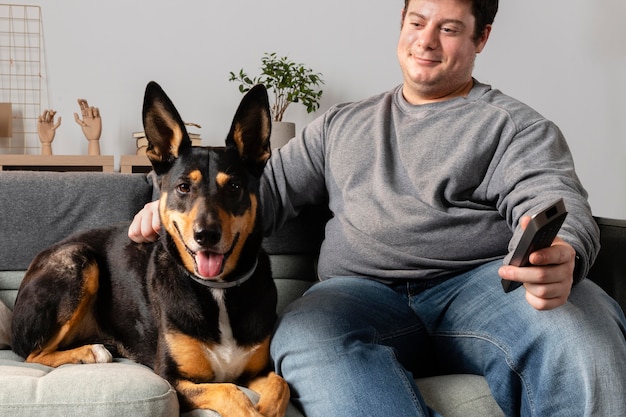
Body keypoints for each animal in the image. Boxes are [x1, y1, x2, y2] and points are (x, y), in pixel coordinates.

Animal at [10, 81, 288, 416]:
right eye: (183, 187)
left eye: (234, 187)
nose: (206, 235)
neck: (217, 289)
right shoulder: (172, 378)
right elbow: (230, 392)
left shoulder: (257, 370)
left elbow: (279, 384)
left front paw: (268, 408)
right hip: (78, 259)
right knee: (32, 355)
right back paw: (91, 352)